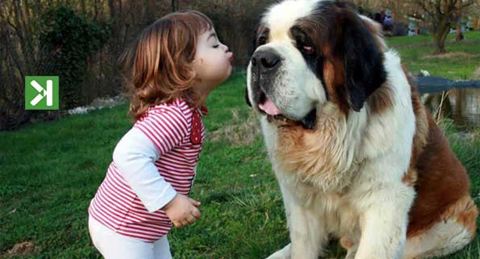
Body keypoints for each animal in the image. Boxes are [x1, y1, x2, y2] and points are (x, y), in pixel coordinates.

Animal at [246, 0, 478, 259]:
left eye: (306, 45)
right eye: (262, 41)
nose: (261, 59)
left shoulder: (386, 201)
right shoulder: (300, 201)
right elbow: (302, 245)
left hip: (452, 227)